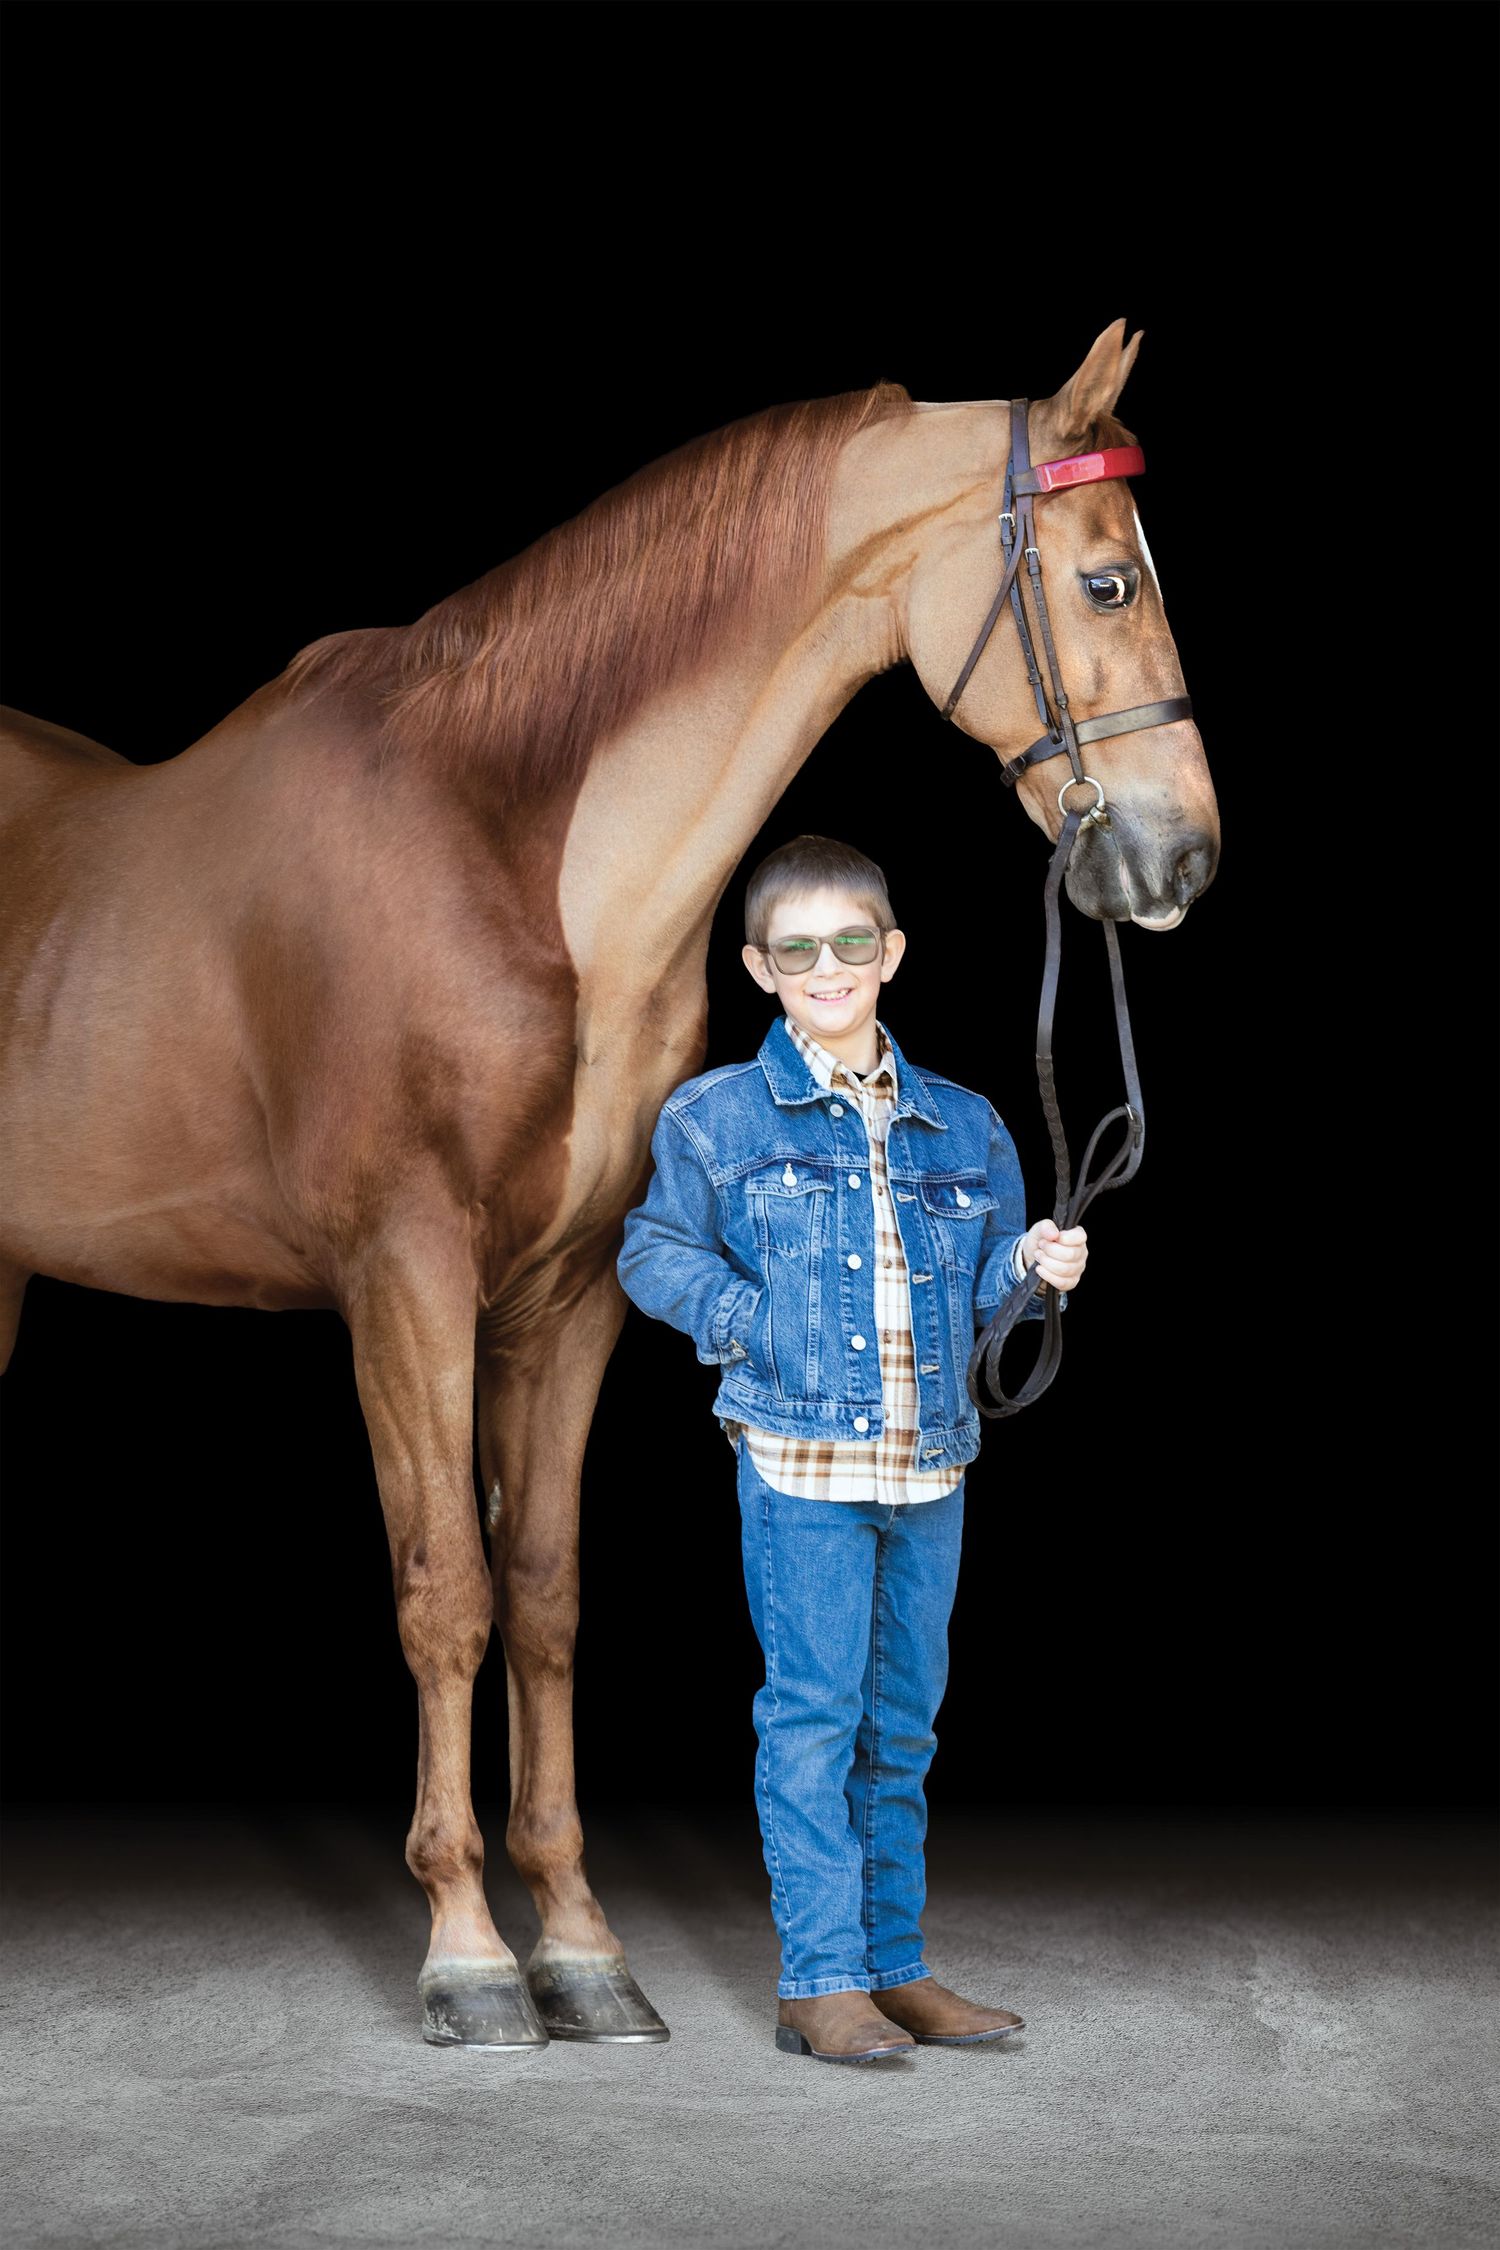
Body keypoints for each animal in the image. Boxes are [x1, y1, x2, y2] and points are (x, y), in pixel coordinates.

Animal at [0, 318, 1220, 2049]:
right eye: (1108, 581)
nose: (1182, 859)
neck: (509, 851)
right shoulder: (407, 1277)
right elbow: (446, 1589)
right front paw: (464, 1953)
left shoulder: (570, 1291)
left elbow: (547, 1592)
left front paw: (579, 1946)